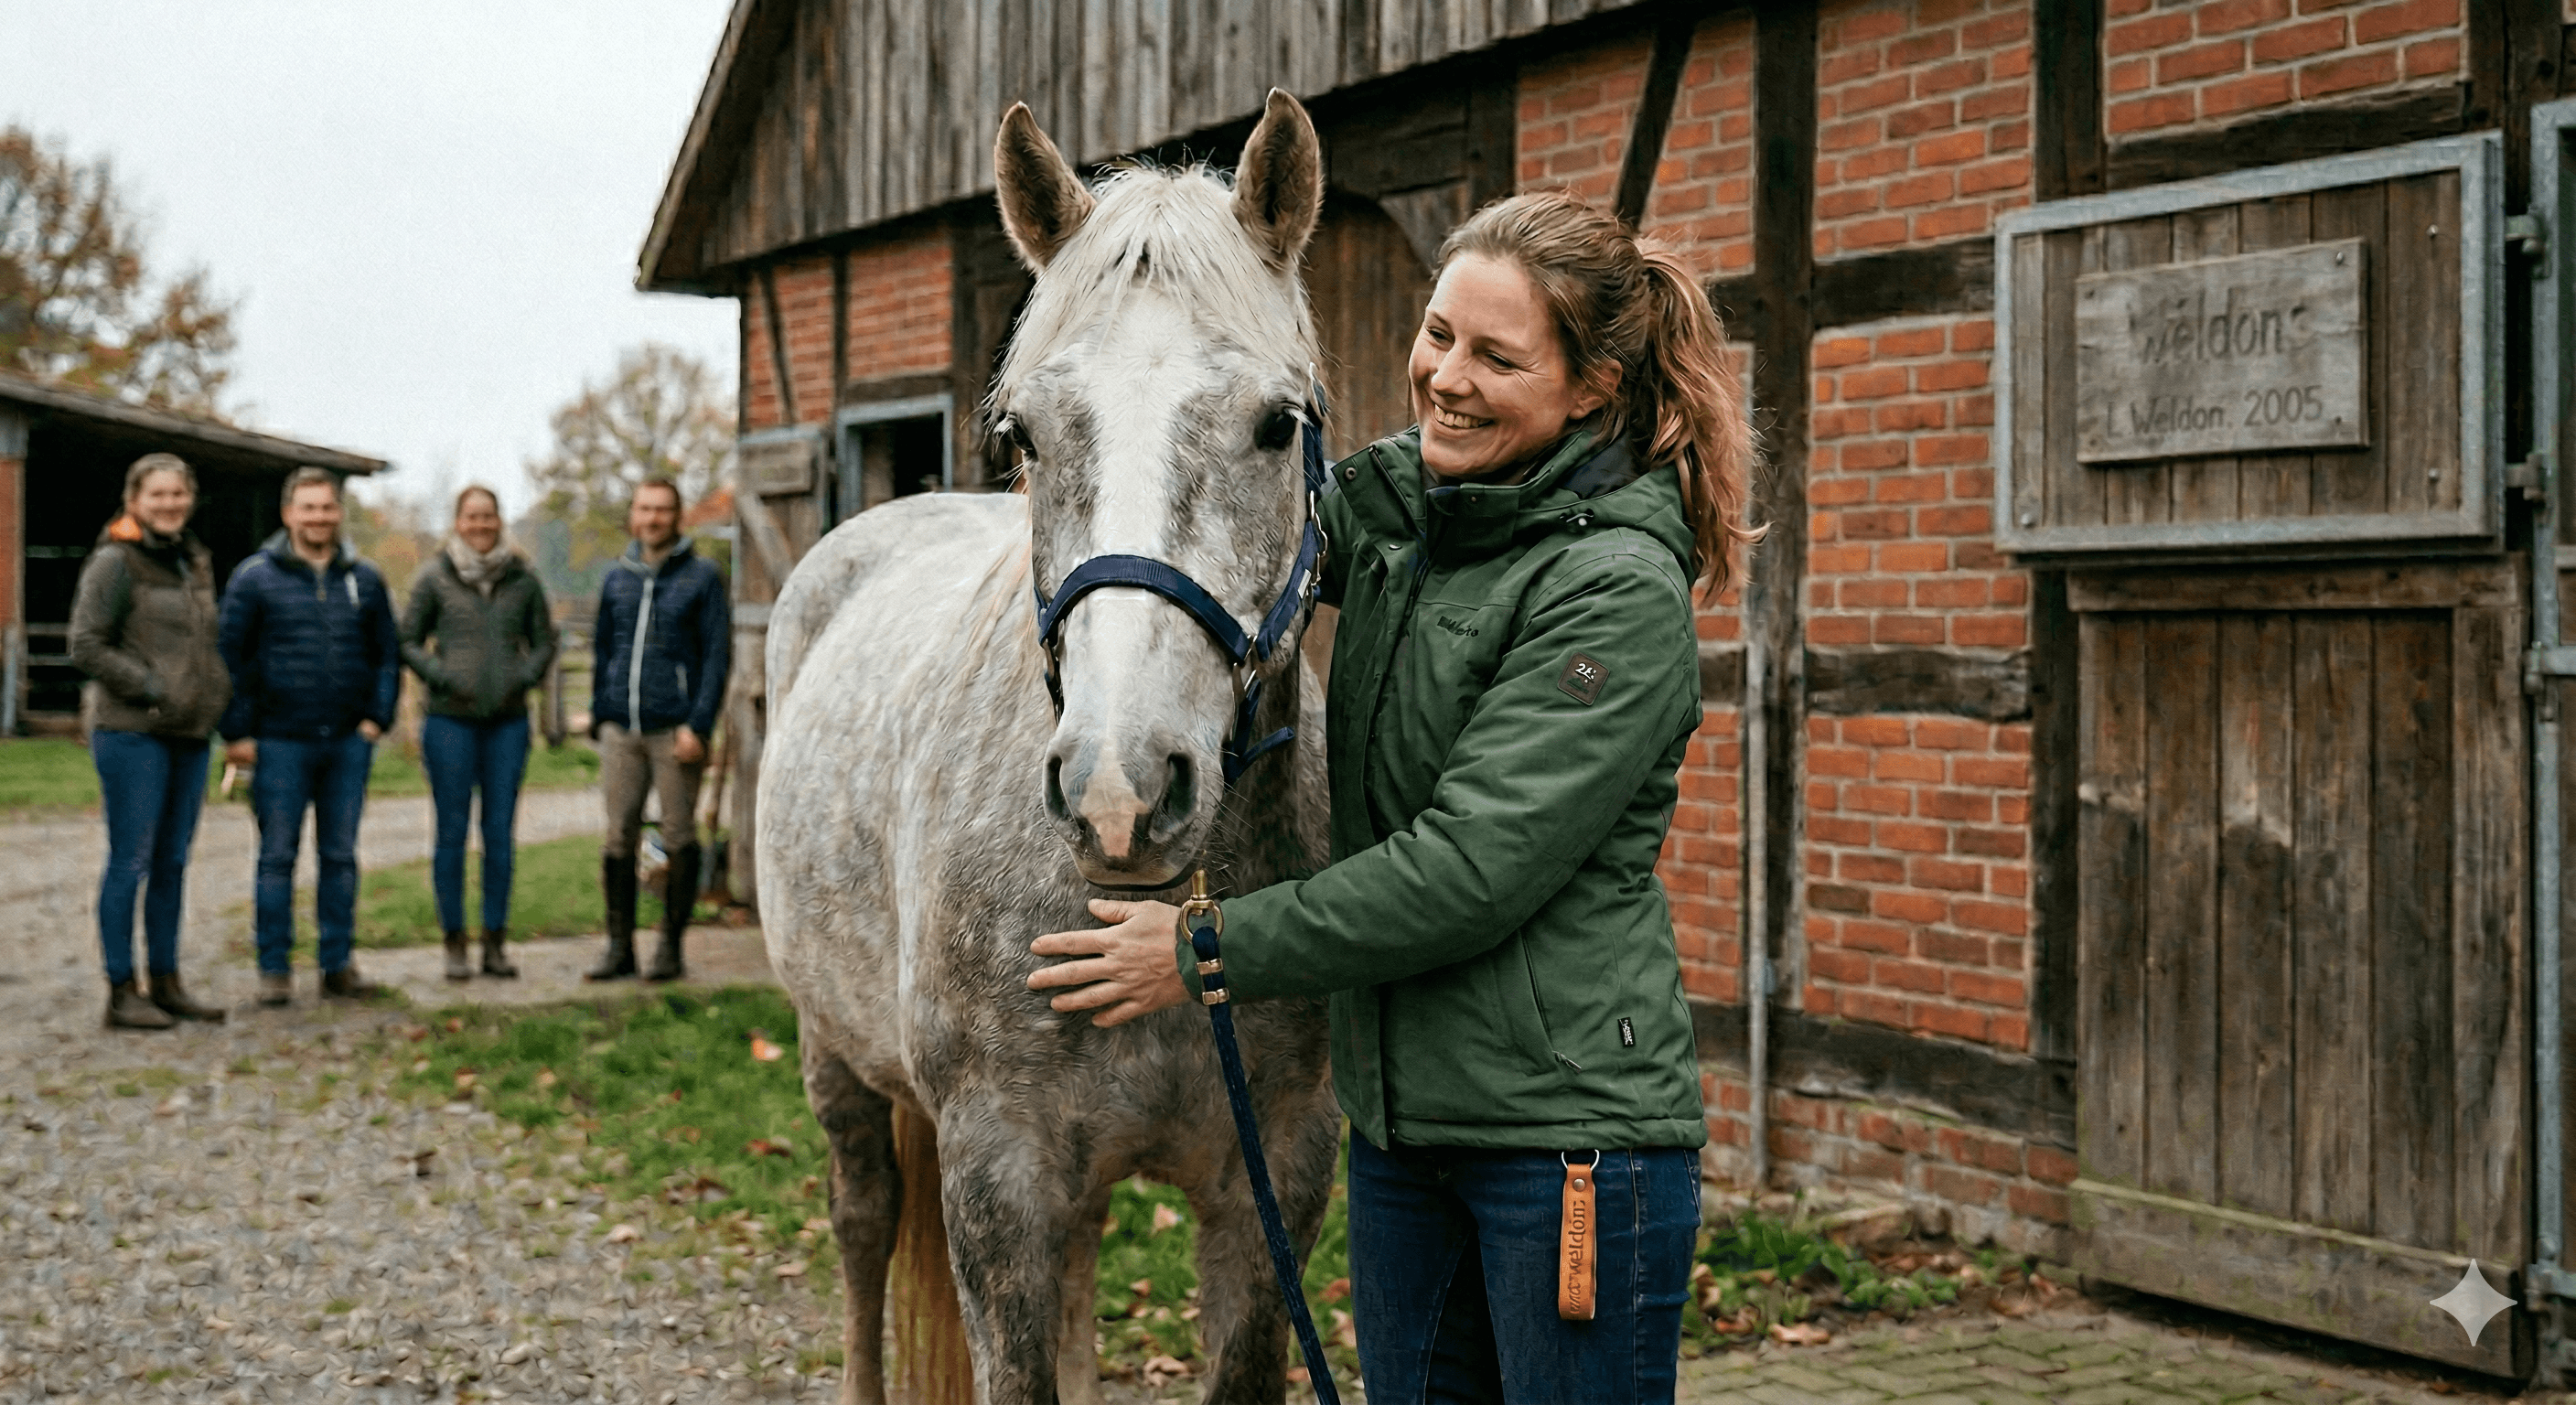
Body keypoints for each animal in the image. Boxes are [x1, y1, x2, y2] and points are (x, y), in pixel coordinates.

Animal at [758, 90, 1343, 1405]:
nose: (1120, 791)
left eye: (1277, 426)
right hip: (835, 1063)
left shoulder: (1271, 1179)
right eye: (1023, 433)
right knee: (861, 1230)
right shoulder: (999, 1179)